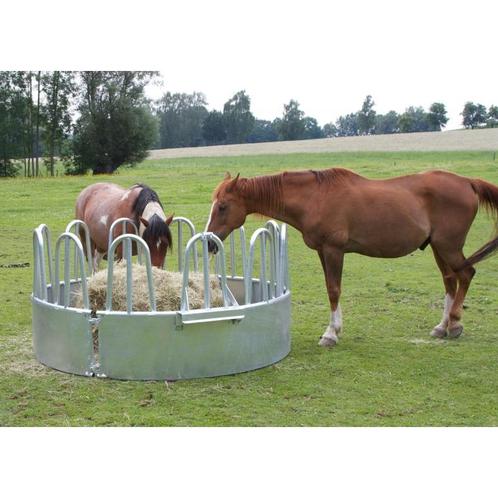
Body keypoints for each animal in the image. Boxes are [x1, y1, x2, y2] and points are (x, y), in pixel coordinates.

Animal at [206, 170, 498, 346]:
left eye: (223, 207)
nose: (209, 242)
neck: (315, 197)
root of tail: (468, 182)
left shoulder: (334, 250)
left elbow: (334, 290)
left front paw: (331, 334)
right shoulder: (323, 251)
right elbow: (330, 288)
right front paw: (334, 330)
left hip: (449, 246)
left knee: (465, 275)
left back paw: (455, 324)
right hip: (439, 248)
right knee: (450, 281)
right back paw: (442, 326)